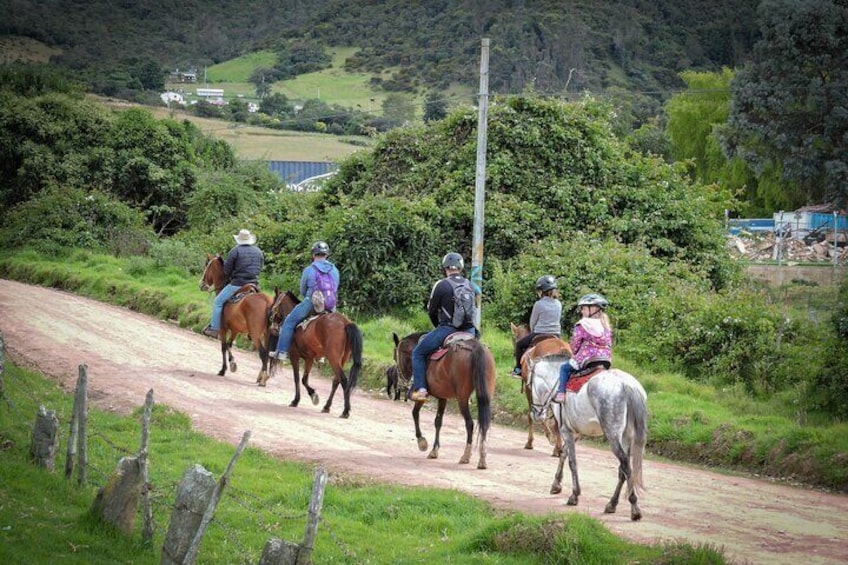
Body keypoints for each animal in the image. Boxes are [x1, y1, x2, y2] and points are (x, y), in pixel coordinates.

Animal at [198, 252, 272, 382]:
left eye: (207, 265)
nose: (201, 285)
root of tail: (267, 301)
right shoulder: (235, 330)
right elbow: (229, 344)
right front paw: (232, 363)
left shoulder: (223, 329)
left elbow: (223, 346)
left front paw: (223, 369)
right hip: (266, 334)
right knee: (266, 354)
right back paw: (261, 376)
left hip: (255, 334)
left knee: (263, 353)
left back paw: (263, 378)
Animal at [270, 288, 362, 416]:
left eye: (274, 302)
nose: (272, 326)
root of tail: (345, 323)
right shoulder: (309, 358)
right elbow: (304, 379)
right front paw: (313, 395)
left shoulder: (294, 355)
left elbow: (297, 378)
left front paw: (296, 400)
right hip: (342, 358)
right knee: (336, 380)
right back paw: (327, 406)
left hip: (333, 358)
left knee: (343, 380)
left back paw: (345, 410)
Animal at [392, 330, 494, 468]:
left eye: (394, 356)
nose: (401, 383)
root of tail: (475, 347)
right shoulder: (442, 397)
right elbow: (438, 422)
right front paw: (434, 450)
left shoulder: (423, 394)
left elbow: (415, 413)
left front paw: (421, 441)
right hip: (486, 395)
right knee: (485, 423)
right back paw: (482, 458)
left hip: (462, 398)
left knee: (470, 423)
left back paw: (466, 456)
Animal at [536, 354, 648, 524]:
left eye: (530, 383)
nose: (537, 413)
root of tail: (628, 385)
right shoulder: (574, 432)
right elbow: (564, 454)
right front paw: (556, 485)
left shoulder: (566, 430)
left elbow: (572, 462)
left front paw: (574, 495)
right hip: (627, 435)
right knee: (623, 468)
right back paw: (612, 504)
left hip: (612, 434)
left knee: (625, 464)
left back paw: (634, 509)